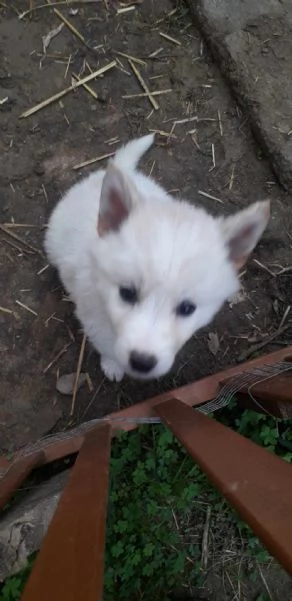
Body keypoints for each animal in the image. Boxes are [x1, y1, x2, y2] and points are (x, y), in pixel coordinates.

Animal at [44, 135, 270, 380]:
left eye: (188, 308)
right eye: (127, 293)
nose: (142, 362)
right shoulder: (92, 313)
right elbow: (105, 342)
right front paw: (112, 365)